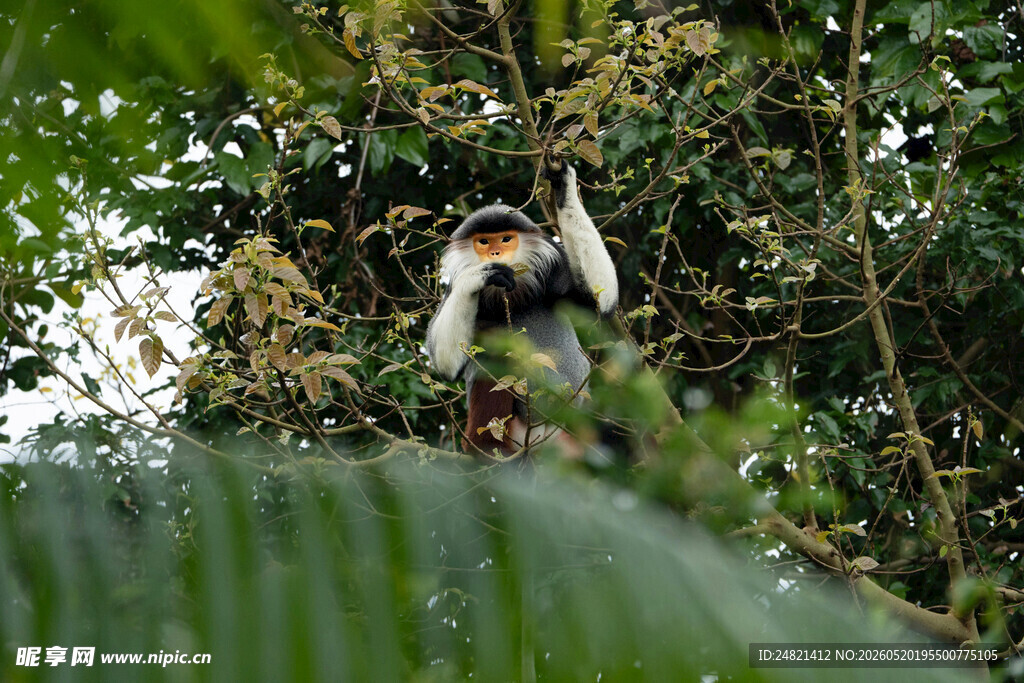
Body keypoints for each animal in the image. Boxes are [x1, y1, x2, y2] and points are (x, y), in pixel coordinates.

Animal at [425, 163, 618, 456]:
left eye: (506, 239)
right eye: (484, 242)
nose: (495, 254)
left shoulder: (555, 271)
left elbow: (598, 302)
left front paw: (562, 182)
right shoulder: (453, 287)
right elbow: (446, 364)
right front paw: (482, 273)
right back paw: (485, 450)